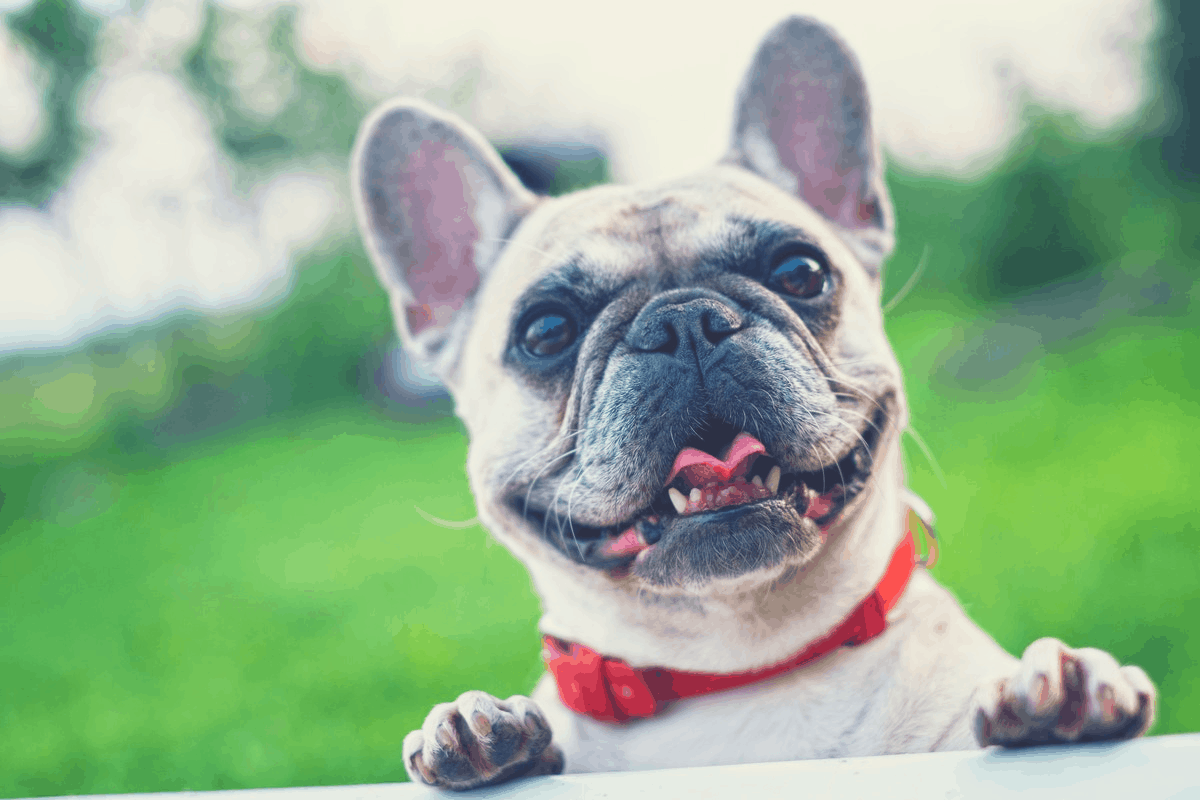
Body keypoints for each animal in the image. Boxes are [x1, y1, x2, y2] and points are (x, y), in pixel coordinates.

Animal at [350, 15, 1156, 791]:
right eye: (546, 330)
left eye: (800, 271)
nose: (683, 320)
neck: (738, 668)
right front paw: (479, 731)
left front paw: (1070, 693)